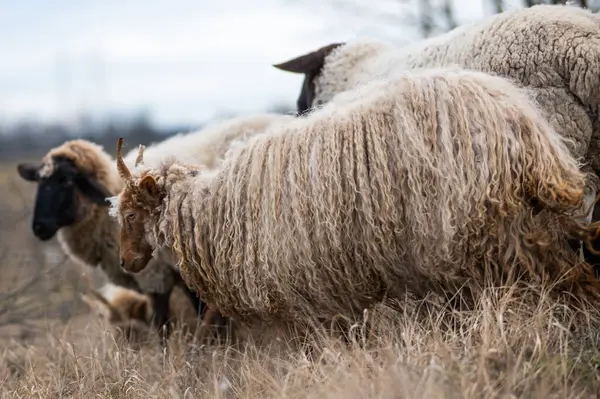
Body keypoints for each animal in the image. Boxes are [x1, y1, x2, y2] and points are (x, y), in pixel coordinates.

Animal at [110, 68, 600, 332]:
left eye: (131, 214)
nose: (126, 262)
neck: (221, 212)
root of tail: (522, 124)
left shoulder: (310, 290)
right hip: (529, 223)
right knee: (574, 272)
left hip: (493, 233)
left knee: (560, 277)